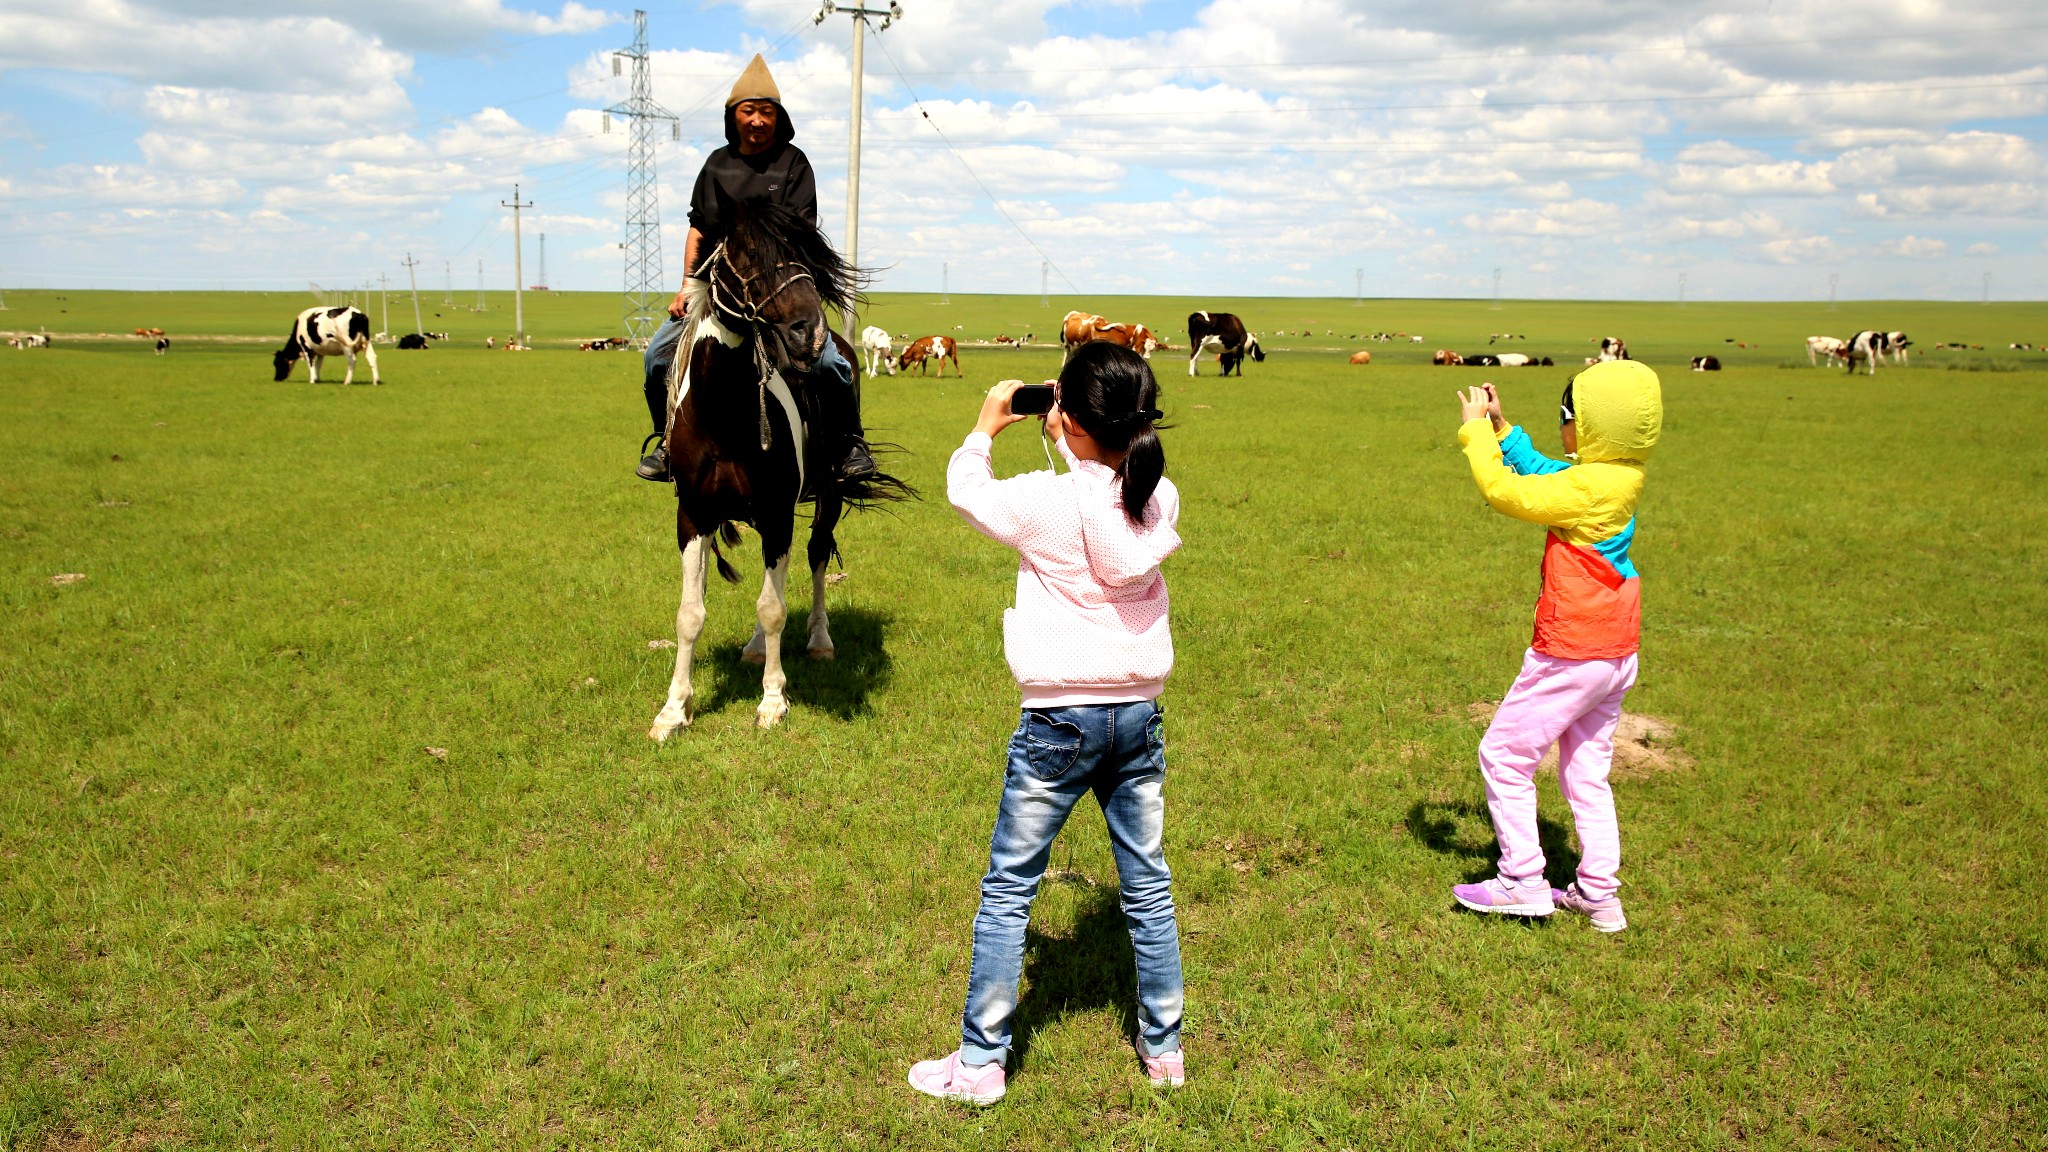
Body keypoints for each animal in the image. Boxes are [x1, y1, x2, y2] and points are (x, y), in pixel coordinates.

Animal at [647, 196, 905, 733]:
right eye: (747, 252)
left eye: (805, 252)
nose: (810, 333)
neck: (725, 411)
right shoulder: (693, 515)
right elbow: (690, 612)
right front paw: (674, 710)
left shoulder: (778, 512)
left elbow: (773, 608)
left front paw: (771, 700)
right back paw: (751, 648)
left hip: (827, 498)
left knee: (817, 556)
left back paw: (820, 640)